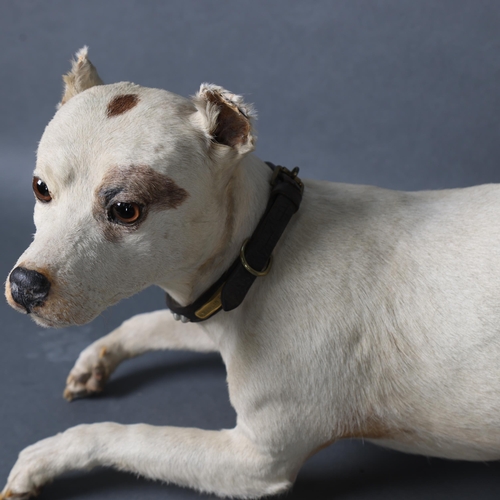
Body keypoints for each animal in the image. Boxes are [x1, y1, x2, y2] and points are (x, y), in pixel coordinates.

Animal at [1, 47, 498, 500]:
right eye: (40, 188)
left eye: (126, 210)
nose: (24, 285)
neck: (262, 247)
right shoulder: (209, 312)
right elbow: (147, 322)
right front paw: (97, 357)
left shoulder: (253, 462)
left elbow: (123, 433)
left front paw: (46, 456)